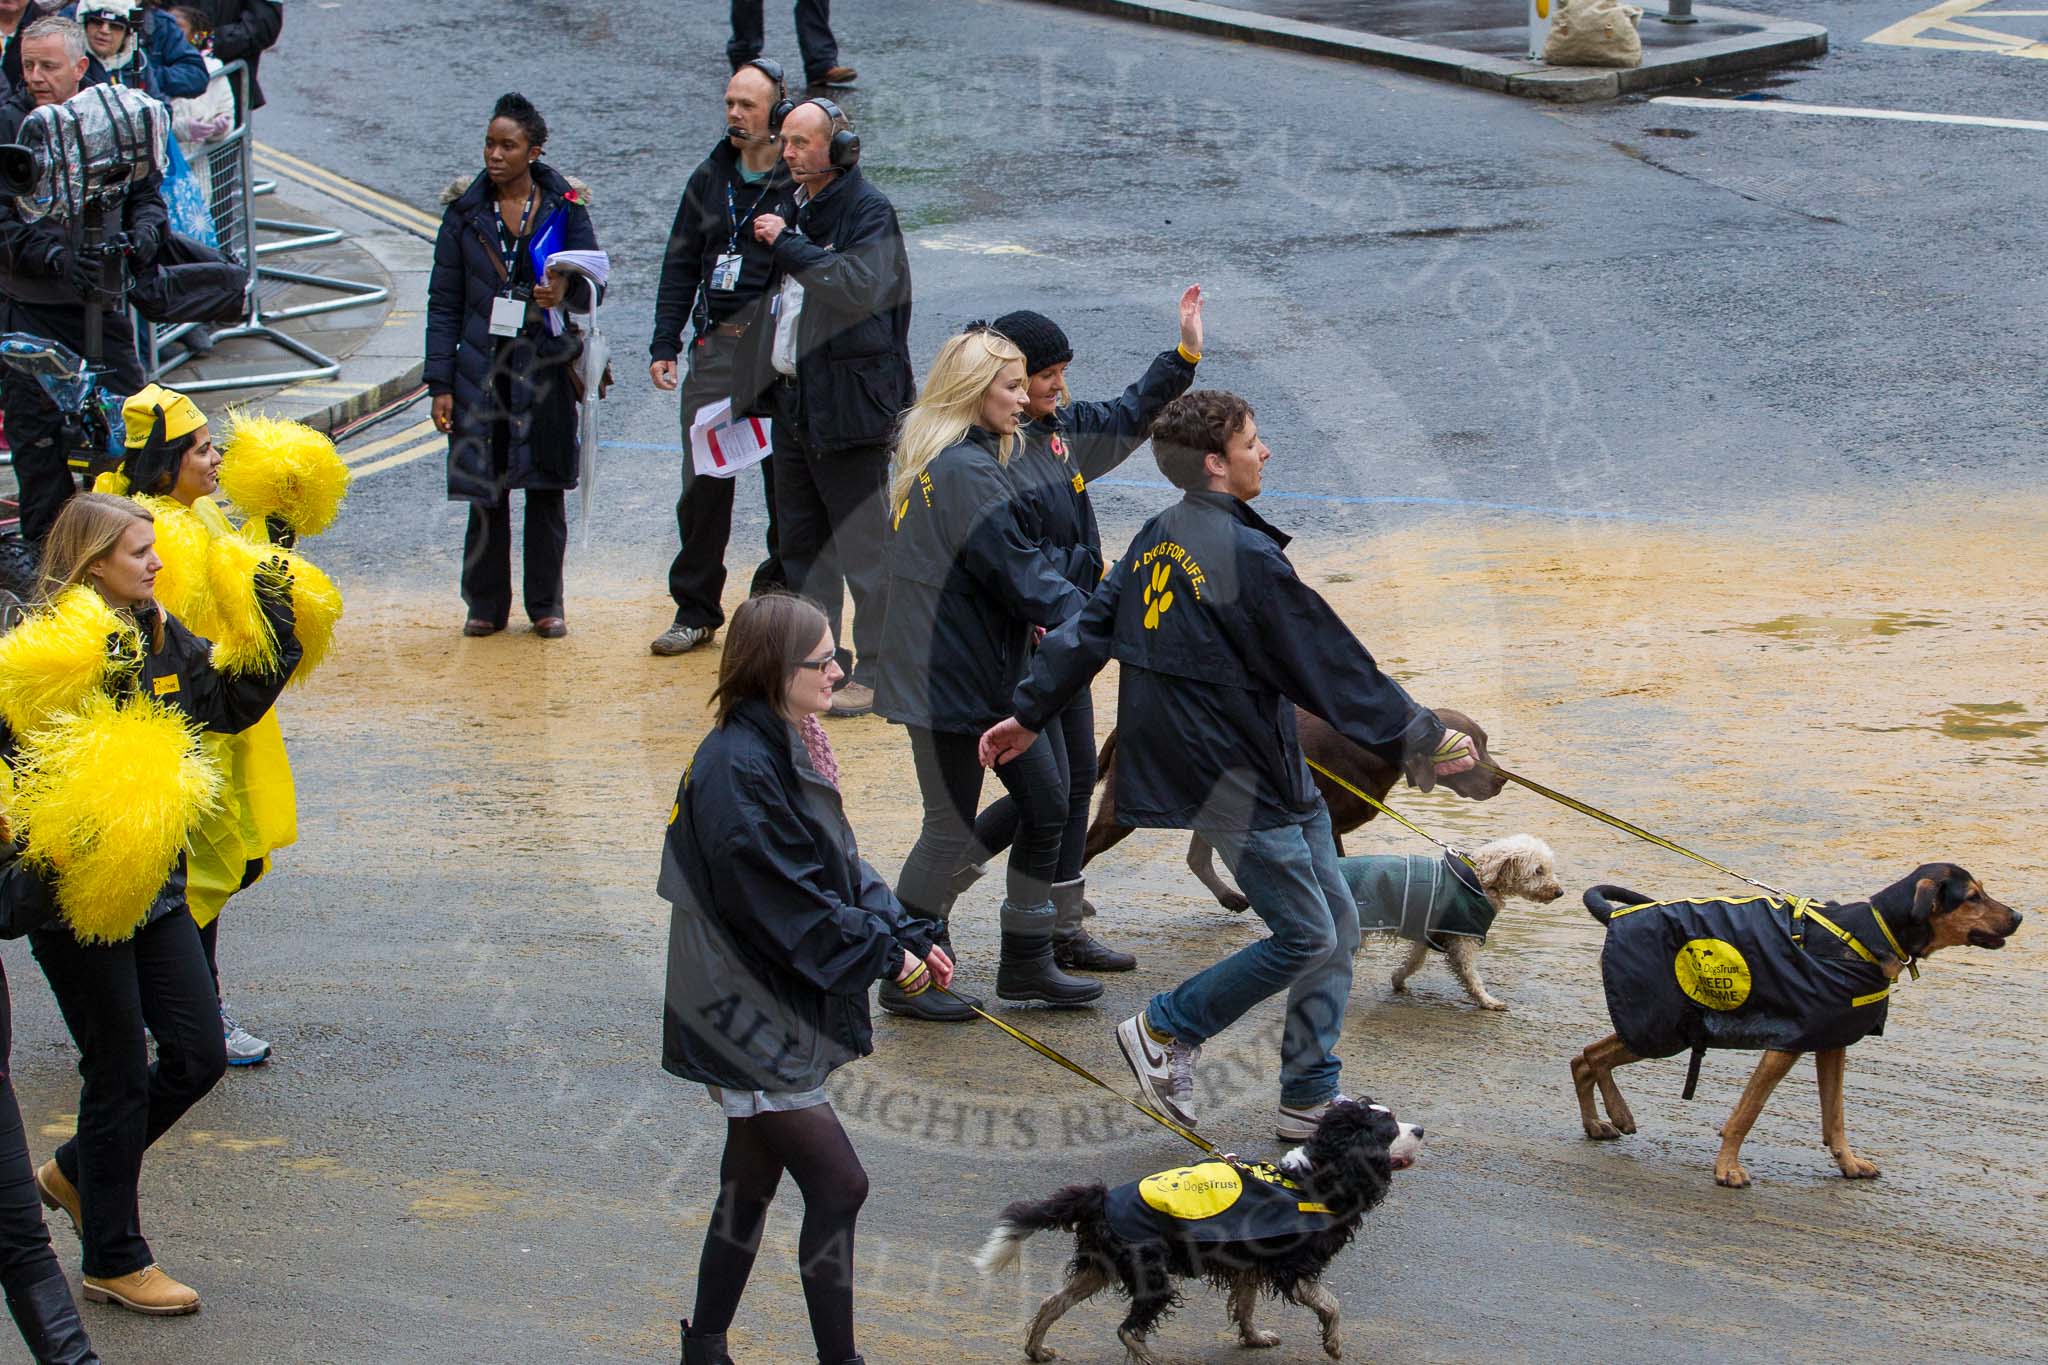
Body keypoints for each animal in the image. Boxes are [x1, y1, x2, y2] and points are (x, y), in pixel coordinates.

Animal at [974, 1105, 1425, 1358]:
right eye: (1389, 1129)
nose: (1420, 1130)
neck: (1312, 1178)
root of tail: (1099, 1198)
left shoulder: (1251, 1263)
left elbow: (1245, 1307)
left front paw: (1254, 1338)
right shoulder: (1293, 1269)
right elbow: (1331, 1305)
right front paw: (1333, 1344)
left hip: (1099, 1268)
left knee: (1052, 1303)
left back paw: (1037, 1350)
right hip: (1152, 1277)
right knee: (1129, 1331)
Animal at [1089, 712, 1507, 912]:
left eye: (1486, 742)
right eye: (1470, 750)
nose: (1501, 781)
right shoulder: (1325, 826)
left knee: (1197, 858)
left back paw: (1229, 897)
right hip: (1118, 813)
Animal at [1572, 863, 2023, 1186]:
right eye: (1973, 897)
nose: (2018, 916)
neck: (1868, 934)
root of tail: (1618, 916)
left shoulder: (1832, 1039)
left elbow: (1834, 1116)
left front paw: (1848, 1163)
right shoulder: (1786, 1045)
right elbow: (1746, 1113)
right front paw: (1727, 1168)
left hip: (1661, 1025)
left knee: (1584, 1059)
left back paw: (1598, 1122)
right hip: (1662, 1027)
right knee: (1594, 1056)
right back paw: (1618, 1112)